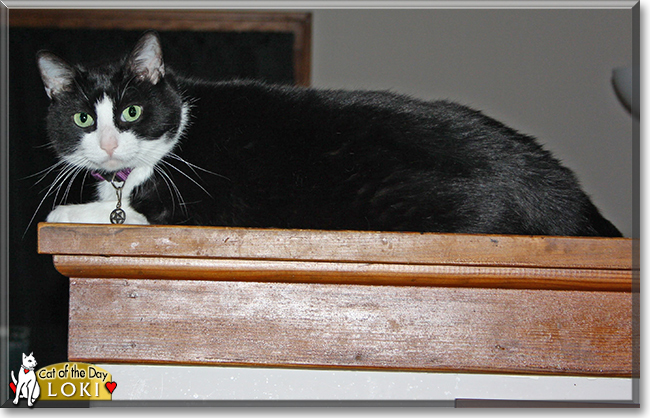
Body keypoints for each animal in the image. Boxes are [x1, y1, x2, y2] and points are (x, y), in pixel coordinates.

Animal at [38, 31, 620, 237]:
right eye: (84, 120)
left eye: (132, 112)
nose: (108, 144)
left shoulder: (192, 204)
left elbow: (122, 214)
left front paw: (67, 213)